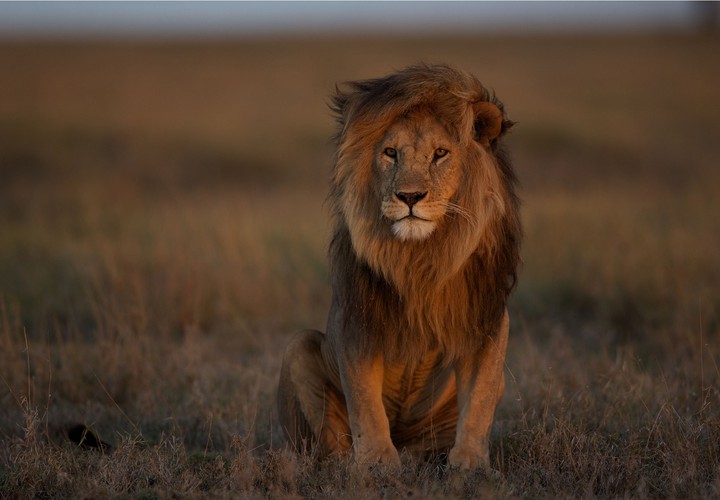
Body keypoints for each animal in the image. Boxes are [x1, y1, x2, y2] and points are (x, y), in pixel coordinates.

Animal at [277, 64, 520, 472]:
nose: (409, 196)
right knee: (331, 441)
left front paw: (470, 463)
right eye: (390, 153)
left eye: (440, 153)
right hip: (299, 347)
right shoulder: (356, 319)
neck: (419, 257)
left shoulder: (485, 319)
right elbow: (365, 402)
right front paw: (376, 461)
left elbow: (481, 397)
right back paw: (346, 463)